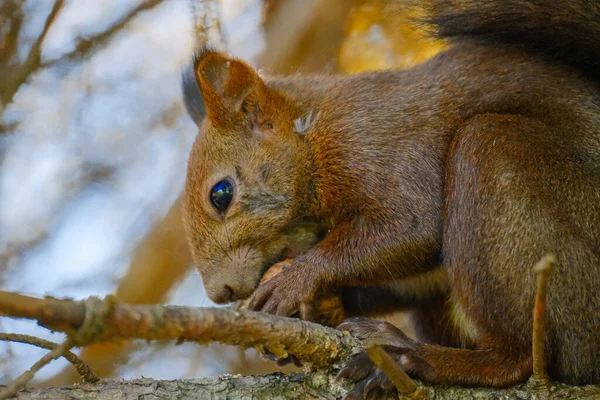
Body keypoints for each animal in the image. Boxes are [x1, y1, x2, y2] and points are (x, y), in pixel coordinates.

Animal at [179, 0, 600, 394]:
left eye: (221, 194)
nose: (220, 292)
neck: (313, 135)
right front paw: (323, 305)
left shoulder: (380, 148)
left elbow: (412, 228)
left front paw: (295, 280)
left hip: (497, 163)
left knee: (519, 359)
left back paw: (416, 358)